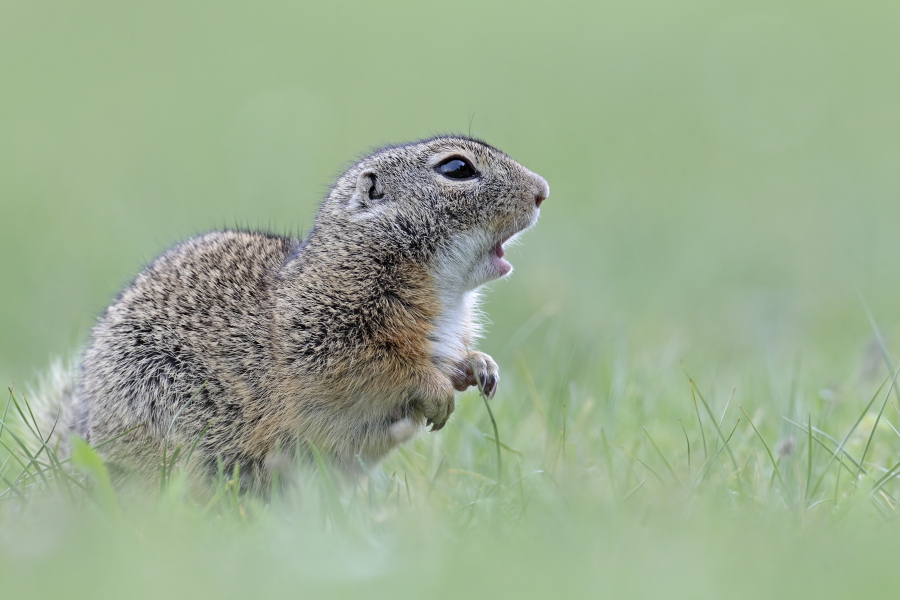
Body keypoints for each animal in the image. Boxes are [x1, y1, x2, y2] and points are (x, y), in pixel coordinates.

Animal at [34, 135, 549, 491]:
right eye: (457, 168)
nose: (542, 189)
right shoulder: (328, 336)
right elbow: (379, 370)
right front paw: (437, 391)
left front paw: (478, 366)